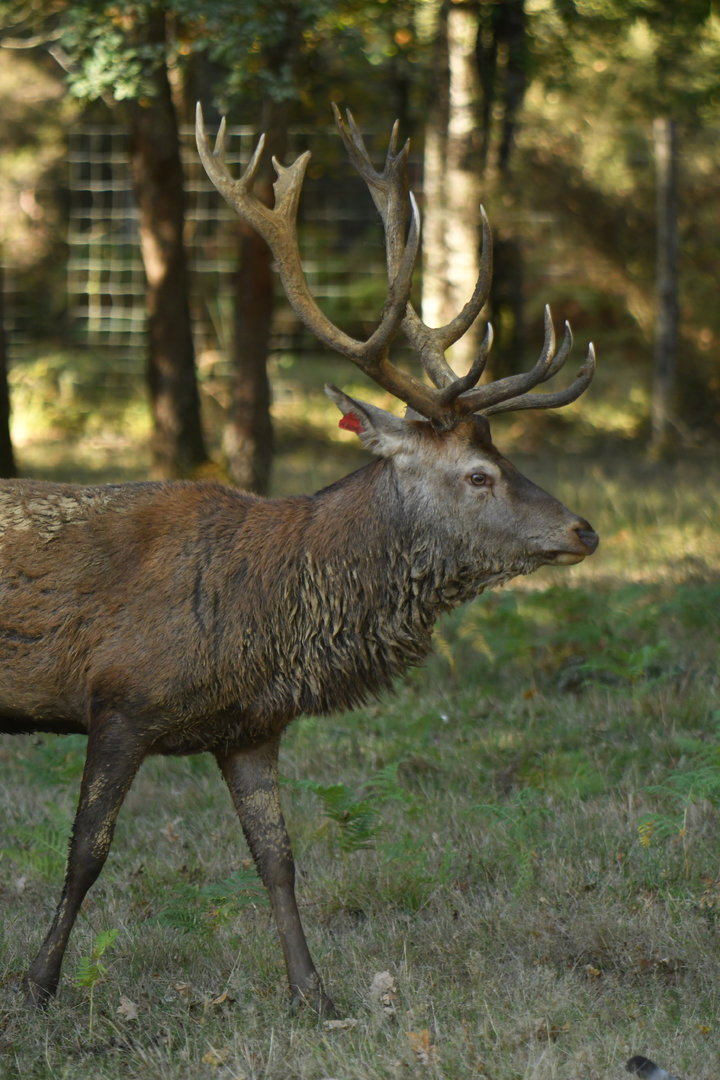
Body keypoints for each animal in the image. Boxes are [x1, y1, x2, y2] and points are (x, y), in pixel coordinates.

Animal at [0, 104, 598, 1015]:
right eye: (479, 473)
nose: (583, 531)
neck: (264, 620)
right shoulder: (121, 698)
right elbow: (85, 854)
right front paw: (37, 985)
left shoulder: (251, 729)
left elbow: (277, 860)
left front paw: (314, 994)